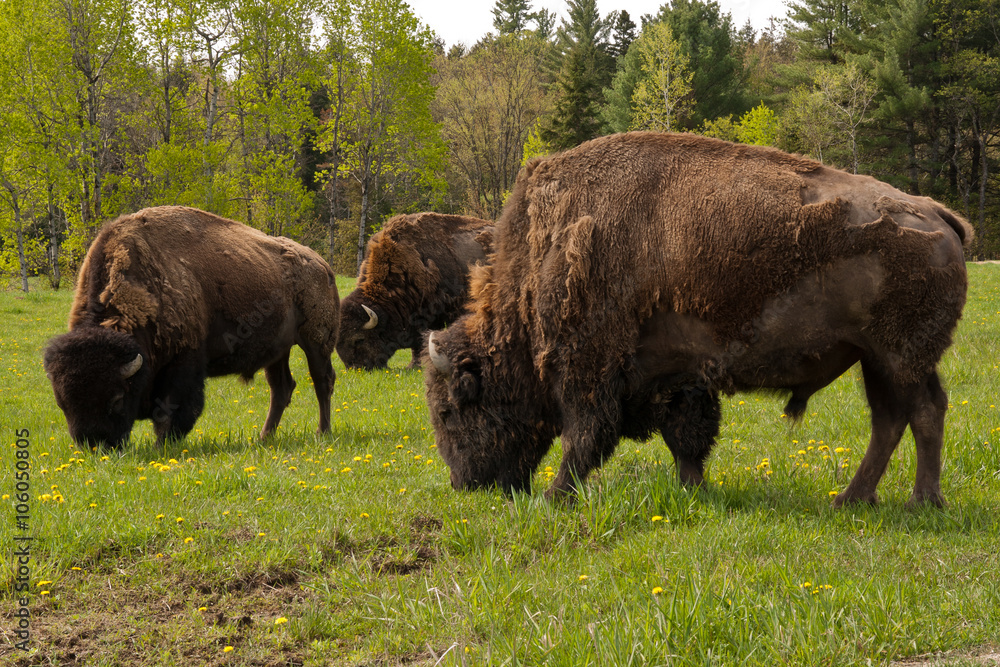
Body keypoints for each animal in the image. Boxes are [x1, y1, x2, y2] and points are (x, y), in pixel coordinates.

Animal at [45, 207, 342, 448]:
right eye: (62, 403)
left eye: (117, 398)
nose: (95, 446)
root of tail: (323, 265)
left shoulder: (183, 363)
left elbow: (171, 410)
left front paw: (162, 445)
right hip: (278, 350)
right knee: (281, 388)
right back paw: (264, 437)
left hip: (316, 341)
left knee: (322, 381)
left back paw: (322, 432)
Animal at [426, 130, 972, 508]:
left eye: (451, 409)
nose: (463, 484)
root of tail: (936, 214)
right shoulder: (676, 377)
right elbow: (685, 438)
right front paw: (695, 490)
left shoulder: (588, 372)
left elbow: (583, 439)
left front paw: (553, 497)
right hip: (877, 359)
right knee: (898, 418)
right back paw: (856, 499)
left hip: (897, 357)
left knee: (916, 414)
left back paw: (915, 501)